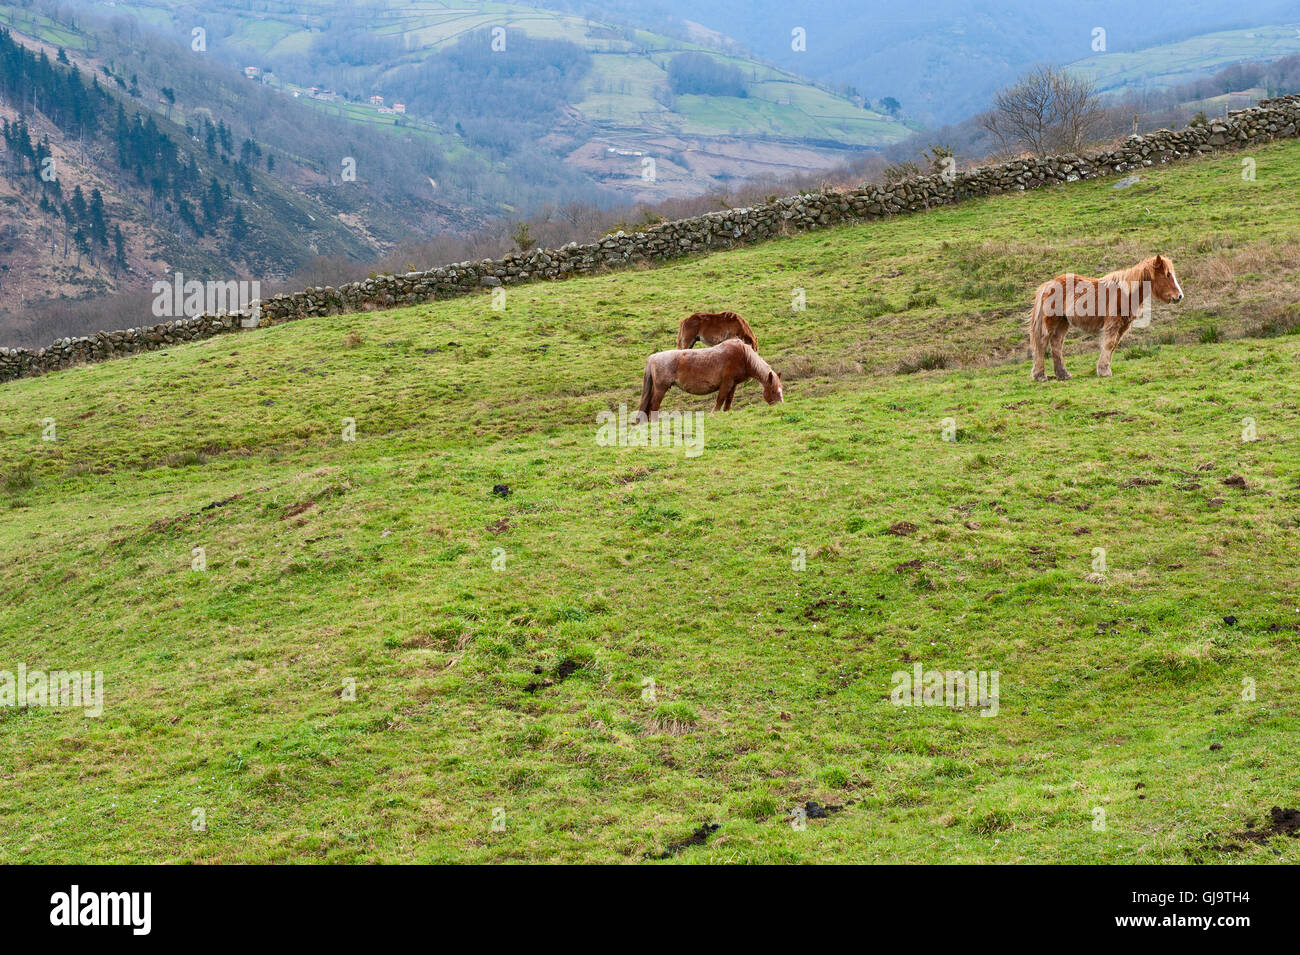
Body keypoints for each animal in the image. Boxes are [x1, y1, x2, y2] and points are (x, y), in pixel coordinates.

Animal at [637, 340, 780, 420]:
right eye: (774, 391)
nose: (780, 406)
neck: (743, 356)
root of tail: (652, 357)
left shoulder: (733, 385)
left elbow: (728, 401)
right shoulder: (726, 383)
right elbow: (720, 399)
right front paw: (713, 414)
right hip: (661, 389)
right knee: (654, 405)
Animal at [1029, 254, 1185, 382]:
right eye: (1167, 275)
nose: (1179, 296)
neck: (1126, 292)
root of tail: (1048, 284)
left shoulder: (1123, 325)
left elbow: (1114, 345)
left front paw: (1104, 368)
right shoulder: (1113, 323)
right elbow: (1109, 344)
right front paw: (1104, 371)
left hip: (1063, 322)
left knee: (1056, 344)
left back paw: (1063, 374)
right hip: (1051, 321)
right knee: (1042, 343)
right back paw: (1040, 376)